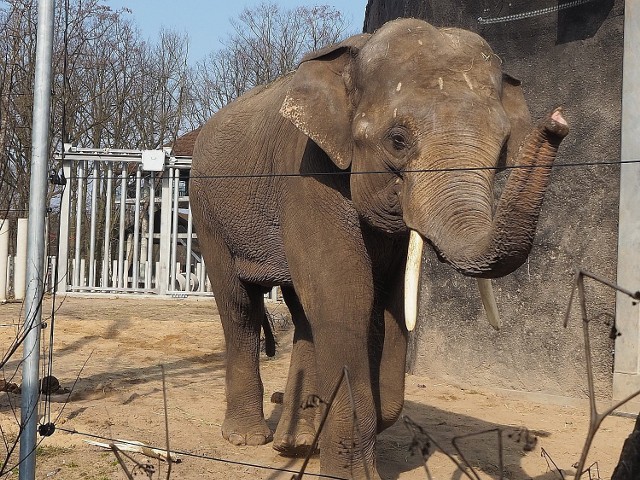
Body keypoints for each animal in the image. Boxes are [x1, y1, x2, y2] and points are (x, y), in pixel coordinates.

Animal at [188, 16, 568, 478]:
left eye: (501, 148)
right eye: (398, 140)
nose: (558, 121)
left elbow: (389, 301)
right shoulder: (308, 172)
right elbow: (346, 296)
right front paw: (349, 473)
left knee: (303, 311)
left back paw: (296, 443)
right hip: (208, 210)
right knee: (240, 307)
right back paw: (247, 438)